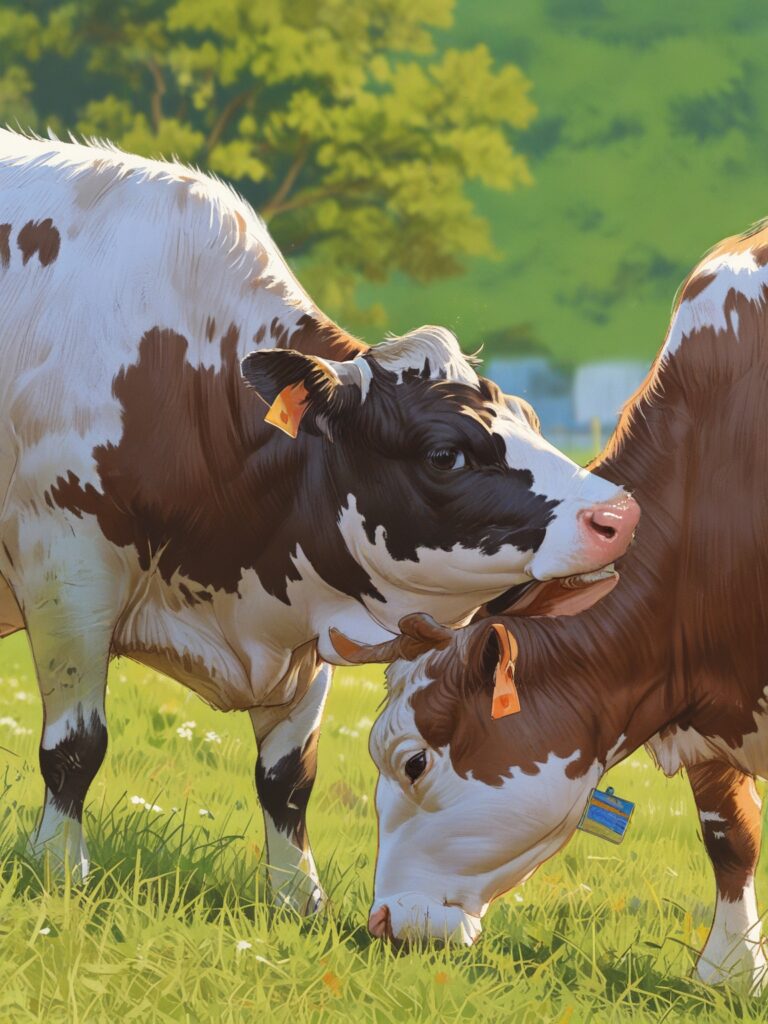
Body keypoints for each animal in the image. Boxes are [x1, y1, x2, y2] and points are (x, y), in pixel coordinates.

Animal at [0, 129, 637, 912]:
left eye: (530, 418)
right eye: (445, 454)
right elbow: (76, 746)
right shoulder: (65, 567)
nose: (616, 514)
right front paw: (60, 871)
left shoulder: (305, 614)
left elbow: (289, 775)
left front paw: (297, 900)